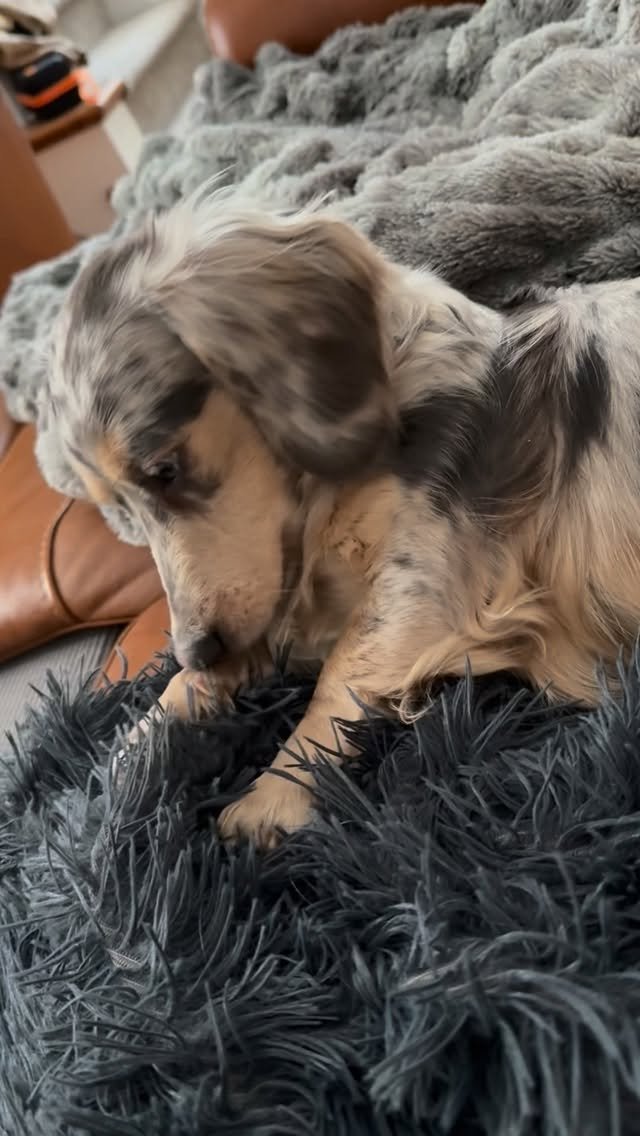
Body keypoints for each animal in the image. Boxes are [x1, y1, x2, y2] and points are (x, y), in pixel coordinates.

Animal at [49, 193, 640, 846]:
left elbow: (340, 673)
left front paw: (270, 796)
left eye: (164, 469)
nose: (197, 650)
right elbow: (192, 682)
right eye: (115, 508)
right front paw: (129, 750)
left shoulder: (424, 583)